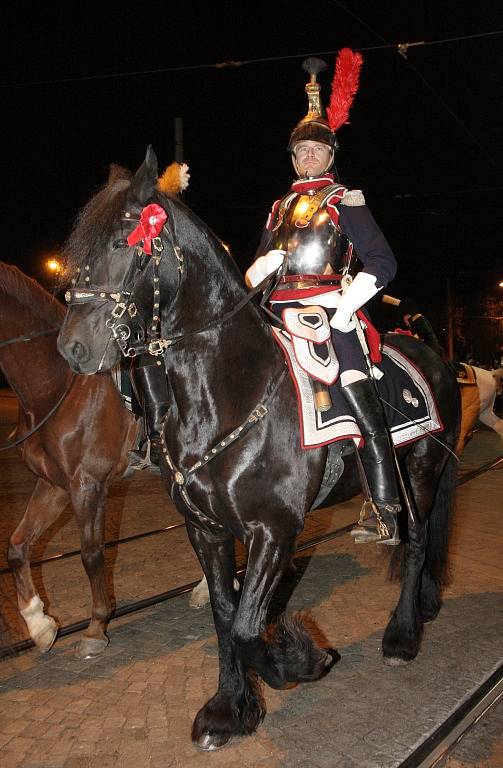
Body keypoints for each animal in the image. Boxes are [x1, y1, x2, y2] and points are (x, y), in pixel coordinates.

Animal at [0, 260, 139, 656]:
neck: (57, 384)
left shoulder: (87, 485)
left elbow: (91, 554)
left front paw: (95, 627)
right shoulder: (54, 484)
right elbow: (17, 546)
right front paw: (39, 624)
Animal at [58, 148, 460, 752]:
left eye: (124, 242)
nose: (73, 348)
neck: (228, 392)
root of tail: (431, 352)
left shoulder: (274, 528)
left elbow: (250, 627)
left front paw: (301, 658)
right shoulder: (206, 530)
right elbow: (226, 615)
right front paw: (229, 709)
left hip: (422, 471)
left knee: (415, 544)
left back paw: (402, 634)